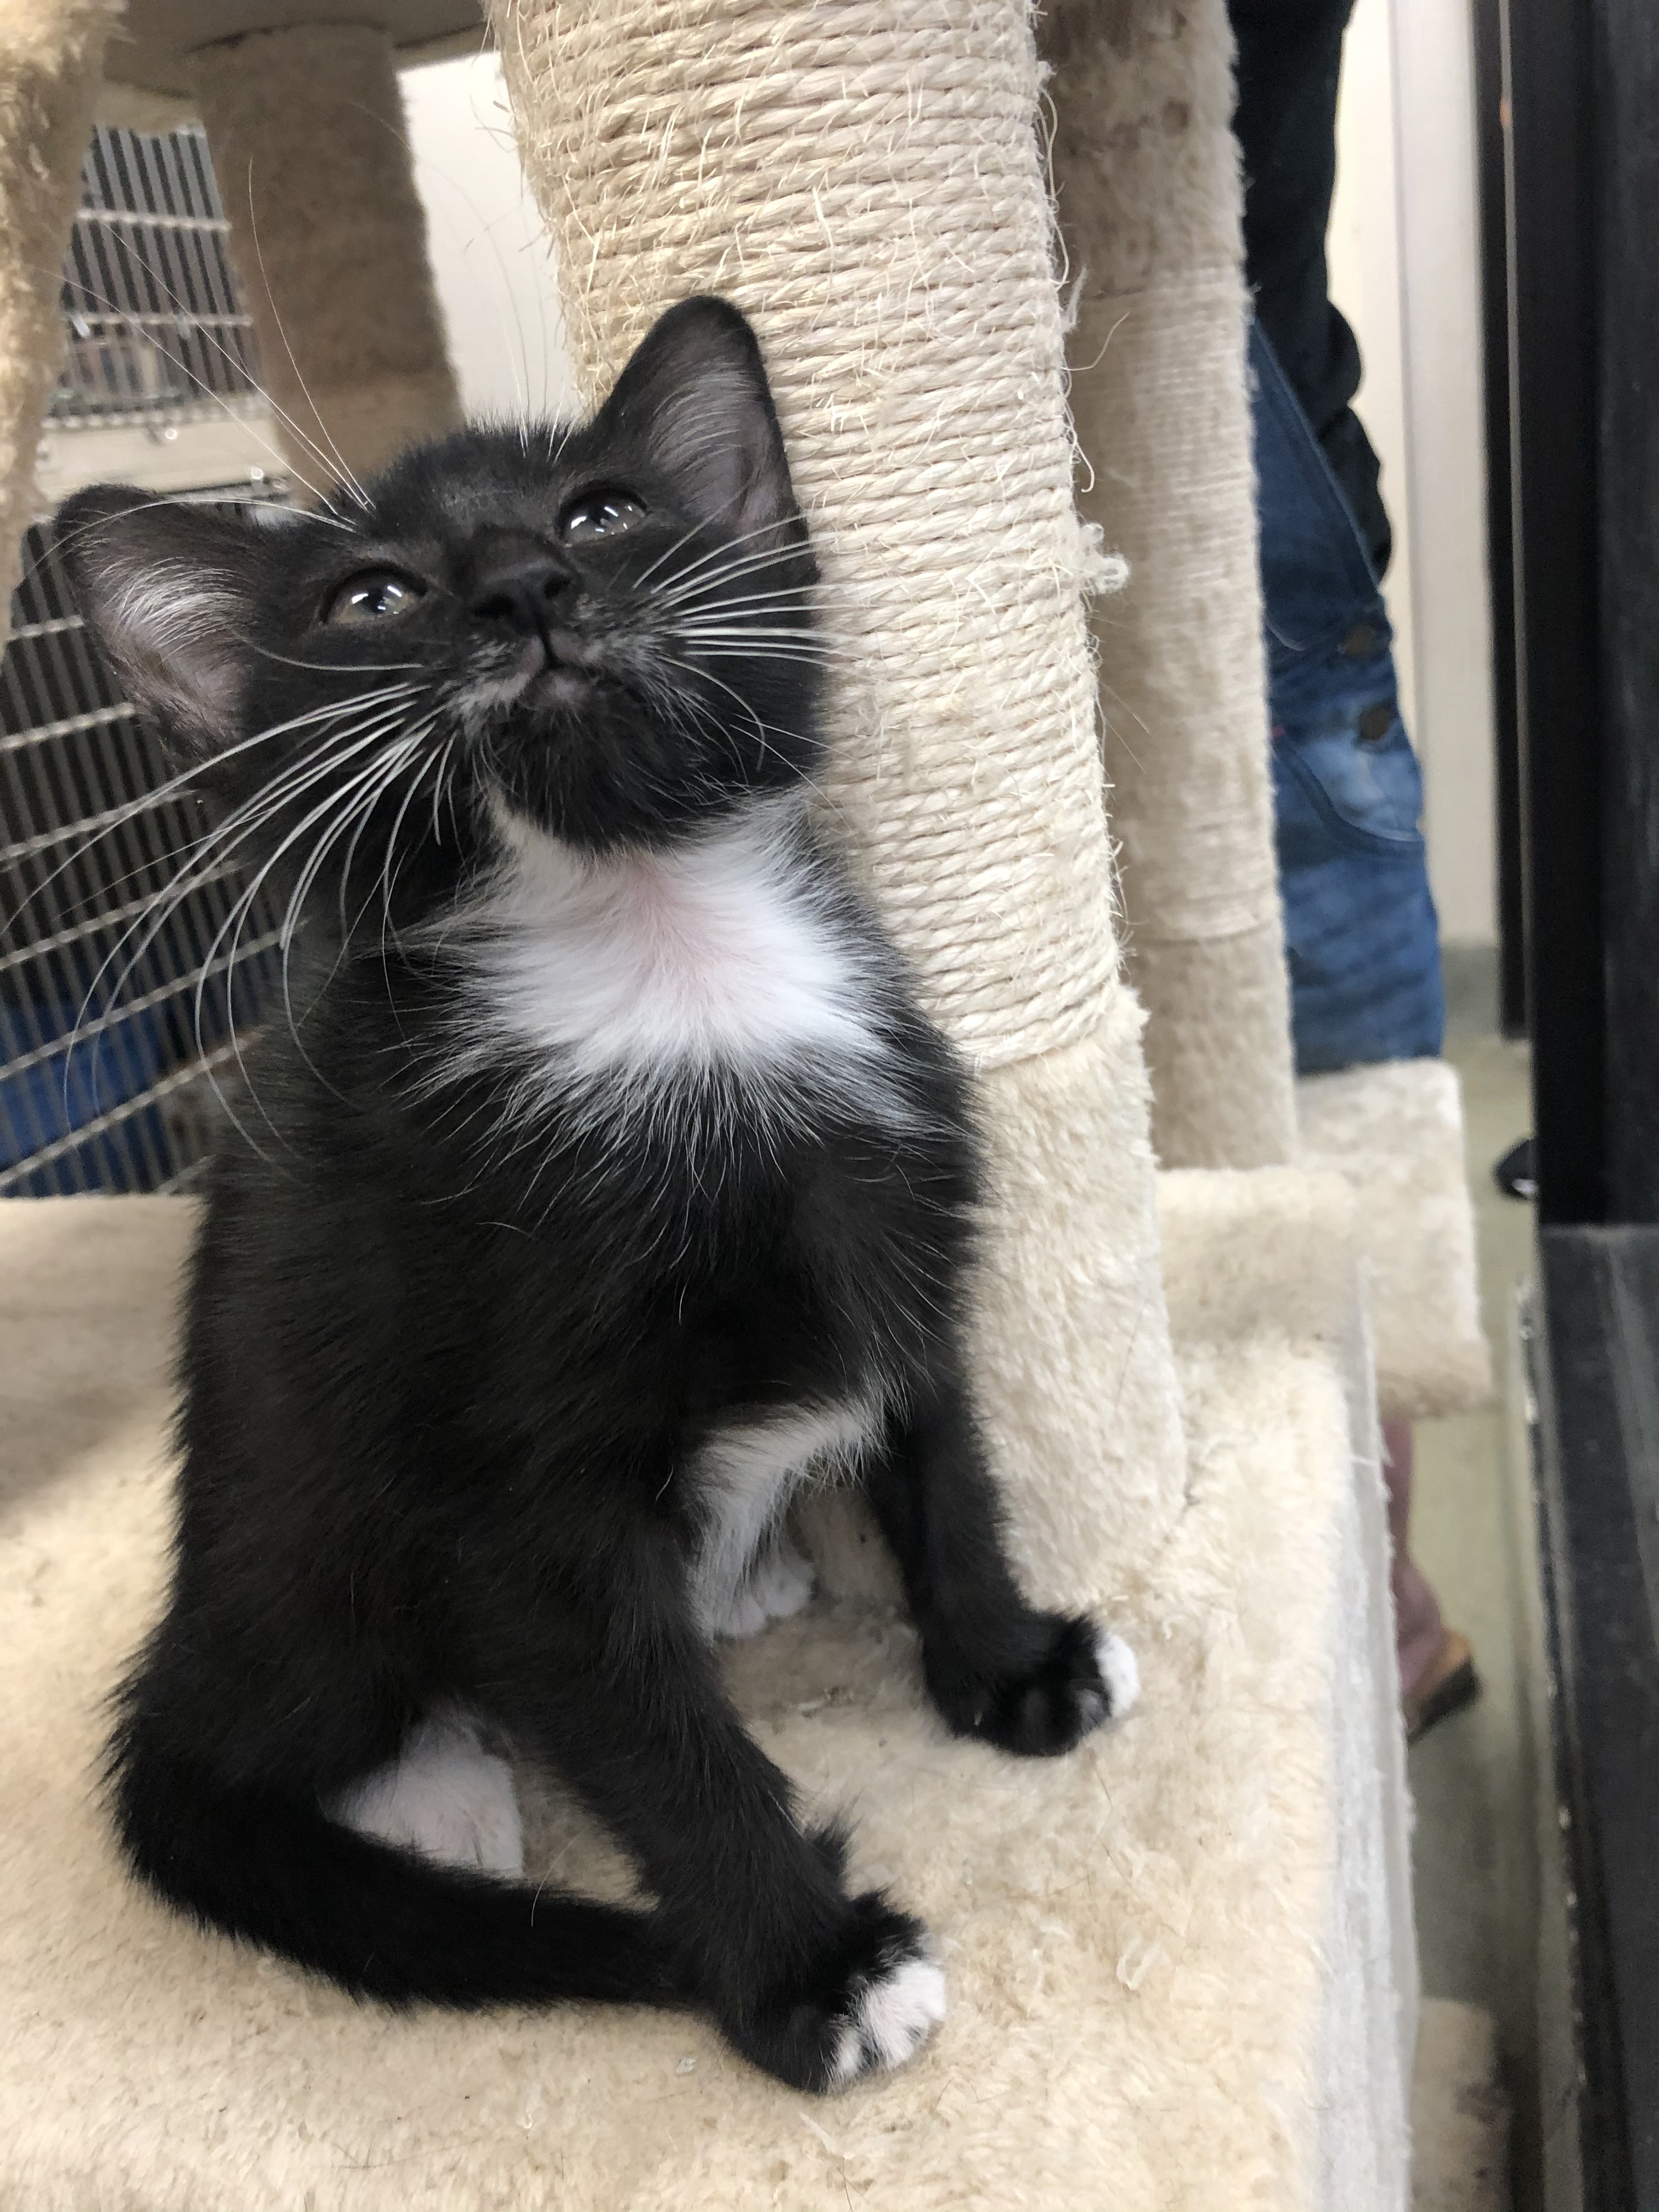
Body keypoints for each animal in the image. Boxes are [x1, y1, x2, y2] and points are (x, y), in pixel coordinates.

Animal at [58, 294, 1141, 2088]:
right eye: (371, 599)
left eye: (606, 512)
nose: (524, 589)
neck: (667, 981)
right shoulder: (503, 1494)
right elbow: (652, 1734)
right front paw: (812, 1966)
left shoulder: (900, 1220)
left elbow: (947, 1463)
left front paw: (1010, 1666)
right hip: (293, 1521)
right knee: (254, 1749)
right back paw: (434, 1792)